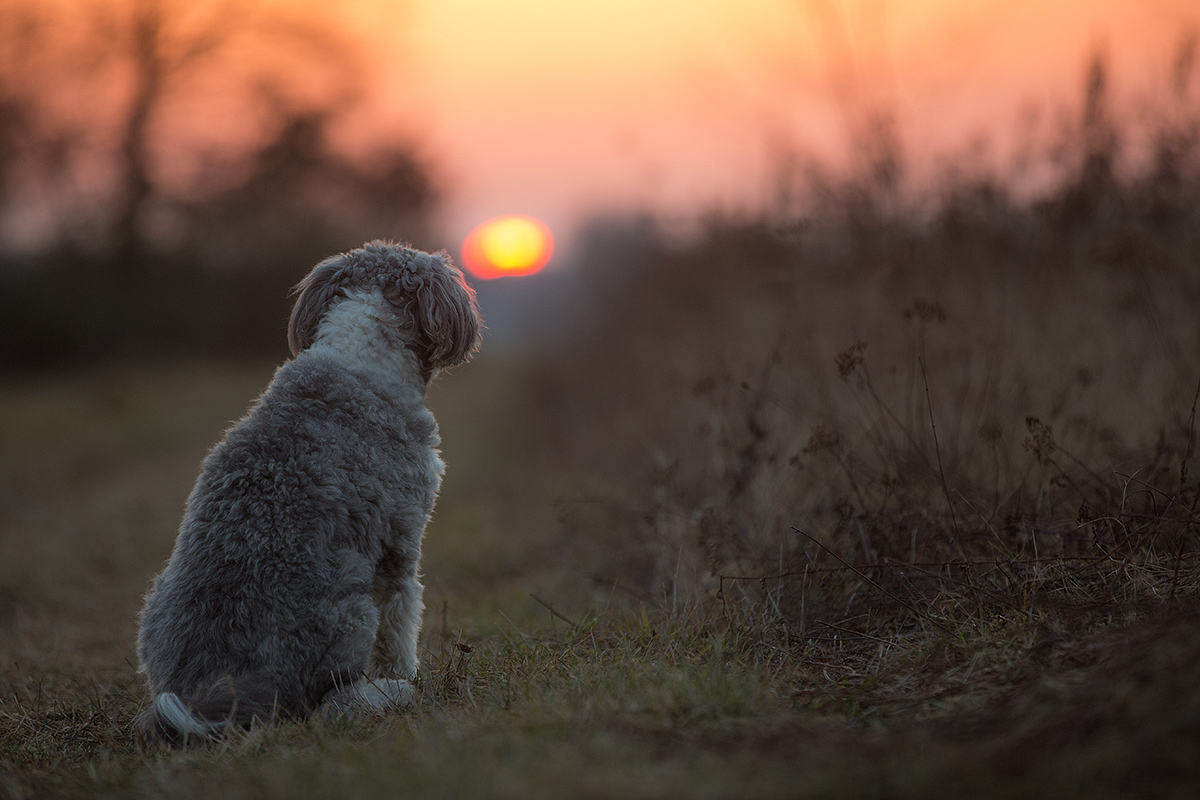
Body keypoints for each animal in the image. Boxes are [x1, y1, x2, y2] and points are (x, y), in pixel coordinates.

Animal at [137, 239, 482, 743]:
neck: (363, 355)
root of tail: (218, 698)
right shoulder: (399, 544)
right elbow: (401, 623)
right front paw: (407, 675)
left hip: (153, 604)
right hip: (352, 613)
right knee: (329, 704)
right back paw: (390, 693)